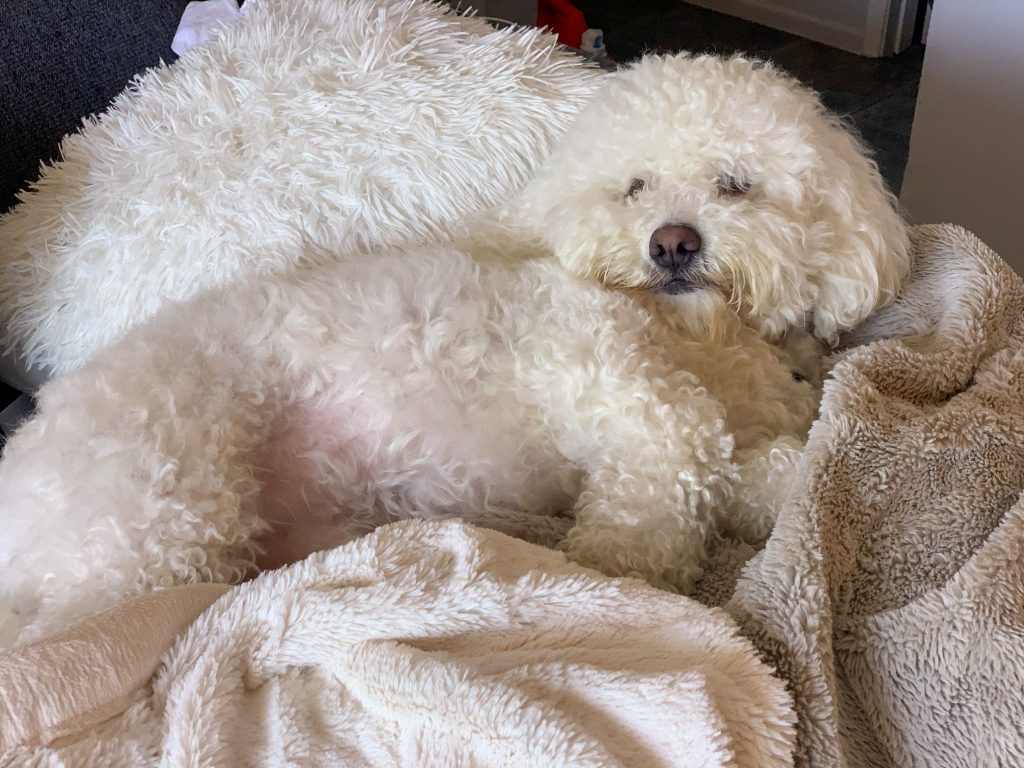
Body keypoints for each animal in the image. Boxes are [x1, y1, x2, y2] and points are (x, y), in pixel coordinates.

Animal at [0, 55, 909, 643]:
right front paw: (623, 570)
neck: (696, 337)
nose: (673, 244)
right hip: (159, 522)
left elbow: (764, 466)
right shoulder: (594, 364)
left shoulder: (737, 421)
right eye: (634, 186)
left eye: (736, 184)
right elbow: (681, 447)